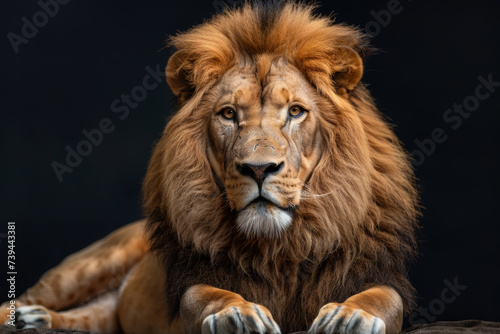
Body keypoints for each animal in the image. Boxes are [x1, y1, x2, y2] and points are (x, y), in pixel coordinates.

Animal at [1, 2, 420, 334]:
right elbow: (205, 295)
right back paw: (22, 316)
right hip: (89, 265)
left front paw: (351, 317)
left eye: (296, 111)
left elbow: (384, 299)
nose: (259, 169)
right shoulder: (195, 282)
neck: (279, 249)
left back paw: (38, 321)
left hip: (104, 317)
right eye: (229, 114)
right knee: (24, 296)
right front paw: (237, 314)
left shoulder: (370, 274)